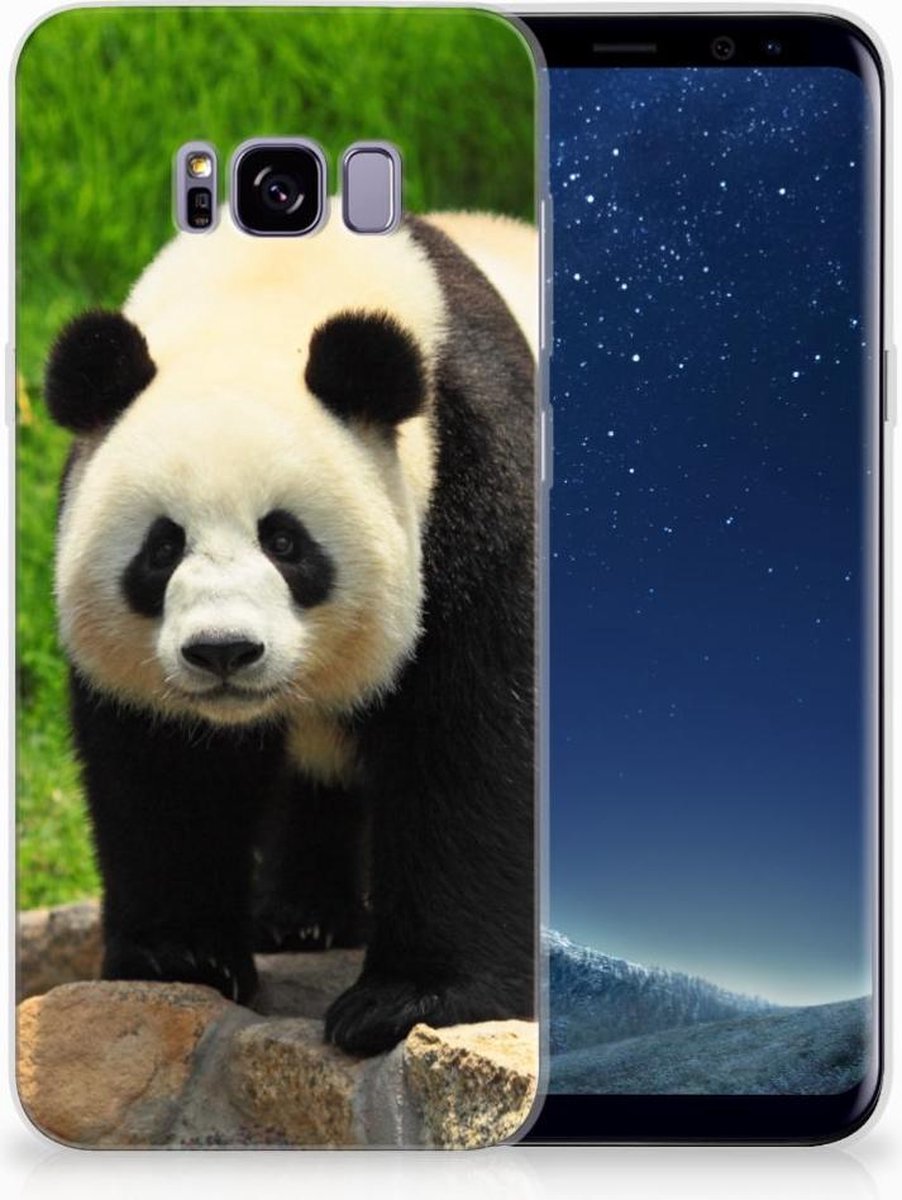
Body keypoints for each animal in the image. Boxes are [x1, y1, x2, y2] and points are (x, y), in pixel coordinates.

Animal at [45, 205, 537, 1057]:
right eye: (161, 548)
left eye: (284, 541)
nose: (223, 652)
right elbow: (164, 767)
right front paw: (181, 957)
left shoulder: (474, 475)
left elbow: (472, 737)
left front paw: (411, 1000)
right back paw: (303, 917)